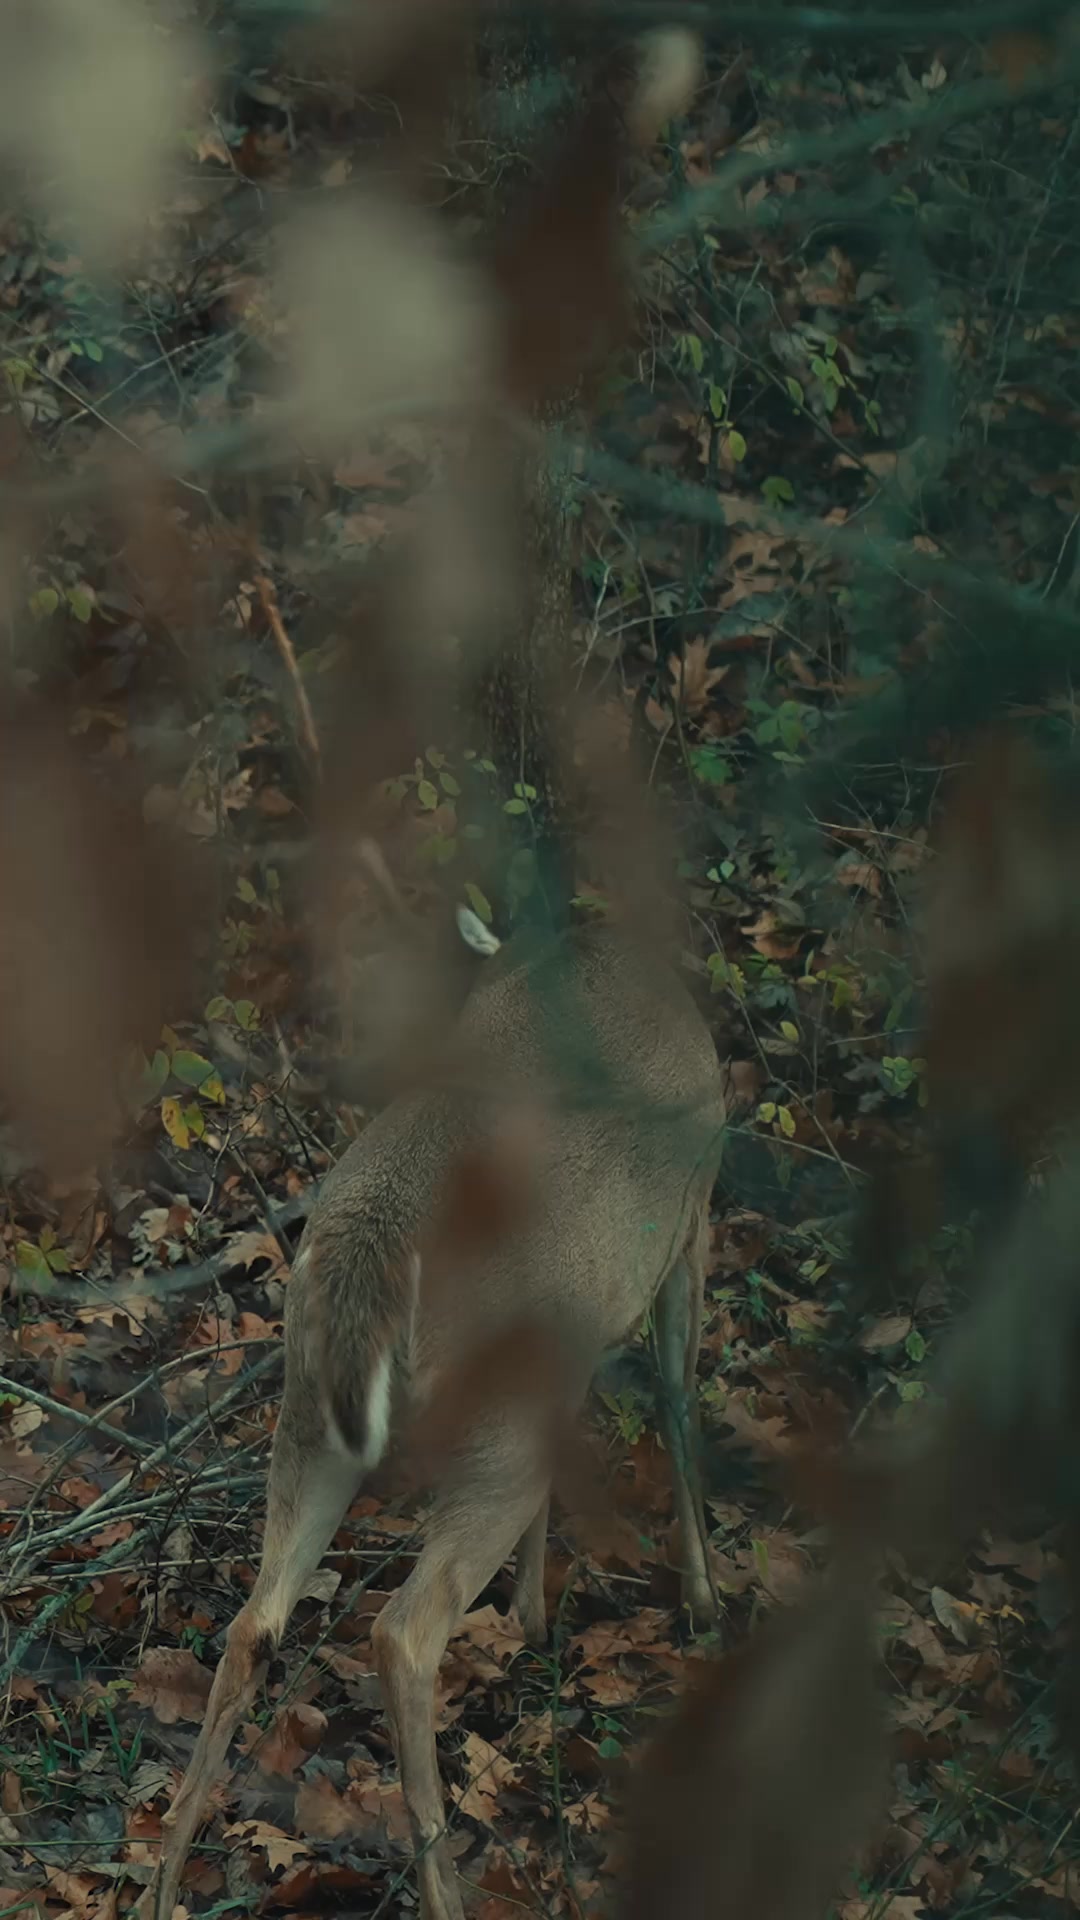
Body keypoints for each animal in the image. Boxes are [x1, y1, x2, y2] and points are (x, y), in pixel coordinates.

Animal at [141, 25, 723, 1920]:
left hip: (302, 1426)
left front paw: (551, 1619)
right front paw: (694, 1596)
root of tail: (371, 1266)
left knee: (256, 1620)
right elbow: (681, 1396)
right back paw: (450, 1867)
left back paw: (167, 1877)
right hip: (466, 1419)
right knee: (391, 1630)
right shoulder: (687, 1231)